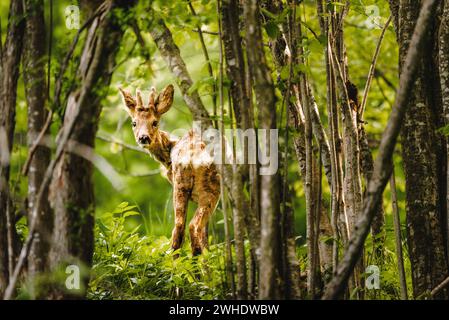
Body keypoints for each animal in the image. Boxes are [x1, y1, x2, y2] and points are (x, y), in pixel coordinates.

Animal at [117, 84, 219, 255]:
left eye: (154, 122)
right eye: (134, 123)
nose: (143, 138)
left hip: (180, 186)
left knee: (179, 226)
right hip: (210, 188)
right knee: (193, 225)